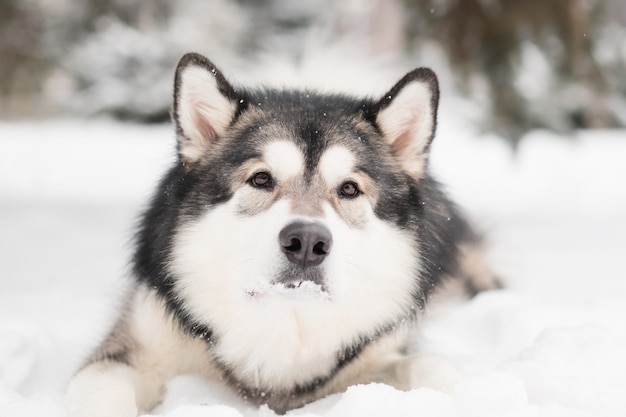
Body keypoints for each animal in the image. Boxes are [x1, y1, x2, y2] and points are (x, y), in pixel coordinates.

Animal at [66, 52, 498, 416]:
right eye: (261, 179)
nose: (307, 242)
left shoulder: (377, 352)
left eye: (349, 189)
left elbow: (430, 366)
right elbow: (104, 391)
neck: (285, 322)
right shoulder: (132, 346)